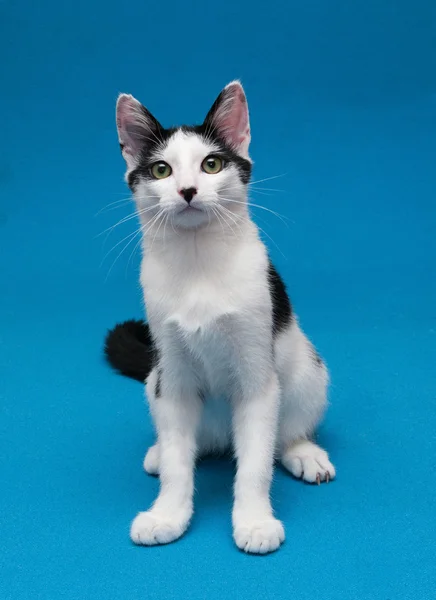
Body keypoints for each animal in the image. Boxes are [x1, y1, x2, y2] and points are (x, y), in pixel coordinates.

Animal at [104, 82, 334, 556]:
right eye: (161, 170)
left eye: (211, 164)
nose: (189, 190)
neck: (198, 267)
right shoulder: (172, 378)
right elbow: (180, 463)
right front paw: (167, 514)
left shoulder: (258, 379)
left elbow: (255, 464)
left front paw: (255, 521)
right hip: (155, 380)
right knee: (188, 444)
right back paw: (160, 453)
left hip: (308, 370)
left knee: (284, 434)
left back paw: (303, 452)